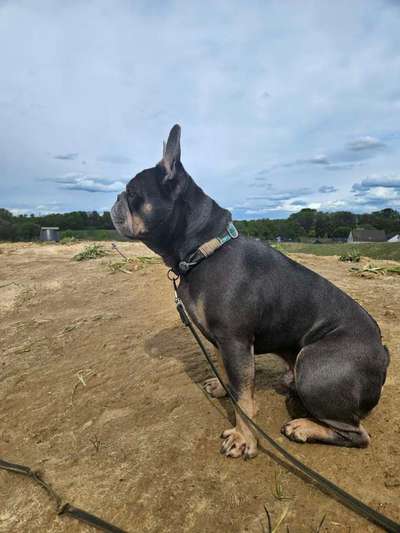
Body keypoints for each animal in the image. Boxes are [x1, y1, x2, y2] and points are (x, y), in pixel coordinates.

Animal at [111, 123, 390, 458]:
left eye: (132, 193)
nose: (115, 199)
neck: (204, 250)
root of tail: (383, 351)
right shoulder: (223, 341)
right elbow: (229, 375)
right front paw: (222, 388)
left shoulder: (235, 340)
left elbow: (244, 399)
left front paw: (243, 438)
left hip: (314, 364)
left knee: (357, 434)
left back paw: (304, 427)